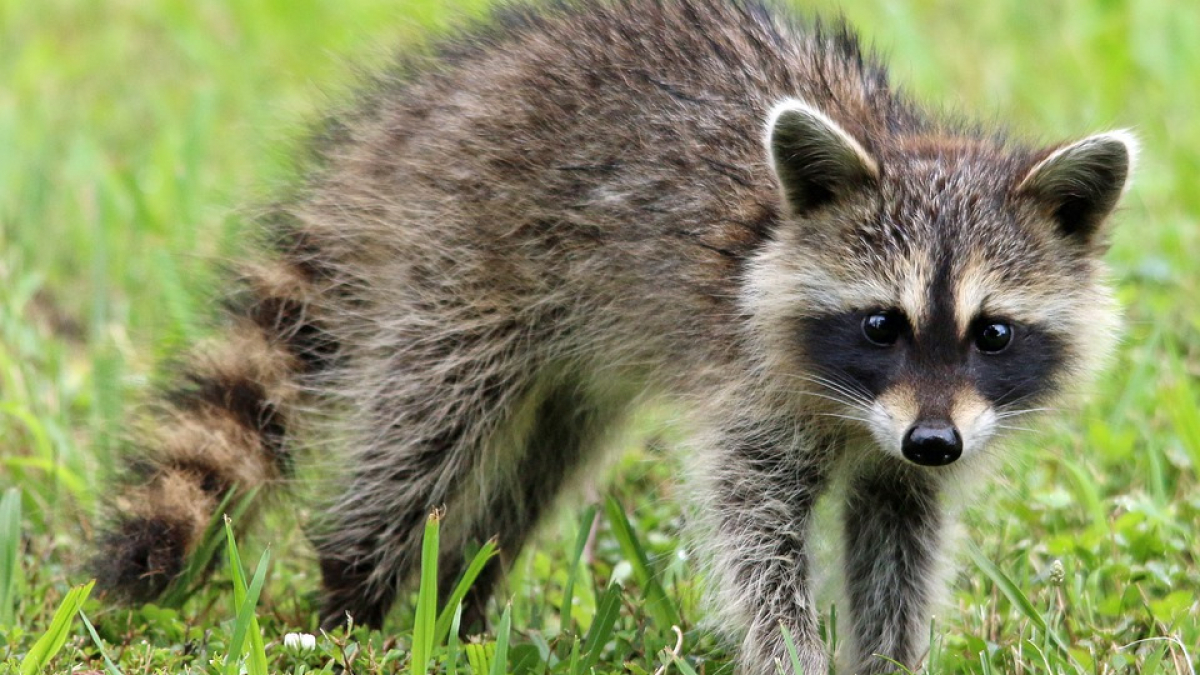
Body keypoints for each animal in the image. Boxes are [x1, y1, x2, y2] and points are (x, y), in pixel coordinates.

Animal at [93, 1, 1132, 672]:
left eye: (993, 333)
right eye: (882, 323)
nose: (934, 440)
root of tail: (433, 102)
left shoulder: (912, 443)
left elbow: (898, 536)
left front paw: (888, 656)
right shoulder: (752, 385)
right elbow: (753, 531)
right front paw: (789, 651)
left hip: (572, 350)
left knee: (539, 459)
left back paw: (462, 593)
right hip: (469, 252)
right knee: (426, 423)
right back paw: (357, 589)